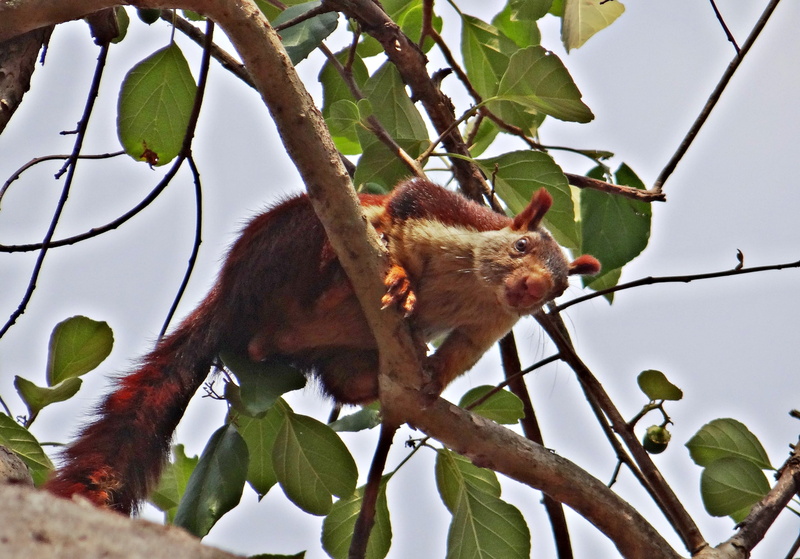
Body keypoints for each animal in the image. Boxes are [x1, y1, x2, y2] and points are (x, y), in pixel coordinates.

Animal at [44, 177, 600, 514]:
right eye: (521, 245)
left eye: (557, 290)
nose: (531, 288)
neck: (478, 290)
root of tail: (229, 296)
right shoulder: (445, 211)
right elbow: (405, 202)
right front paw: (401, 271)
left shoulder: (488, 326)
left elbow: (460, 352)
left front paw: (434, 378)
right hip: (292, 239)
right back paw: (343, 269)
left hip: (327, 352)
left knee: (332, 377)